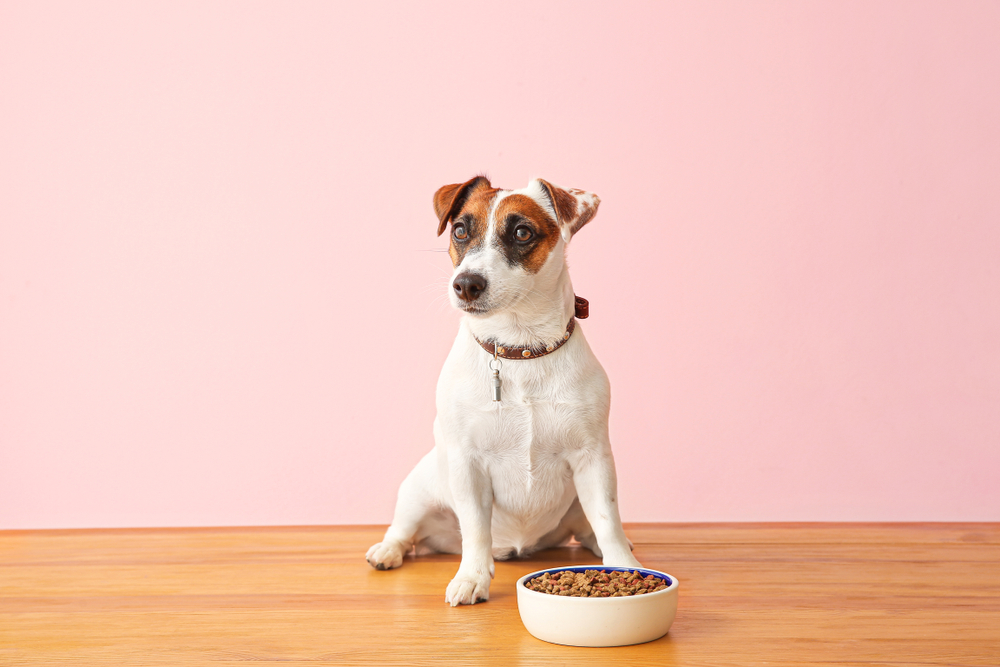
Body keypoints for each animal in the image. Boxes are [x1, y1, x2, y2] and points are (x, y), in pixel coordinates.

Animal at [368, 176, 640, 604]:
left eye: (522, 232)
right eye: (460, 231)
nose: (466, 284)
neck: (520, 348)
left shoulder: (593, 458)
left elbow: (608, 518)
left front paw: (623, 567)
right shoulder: (469, 464)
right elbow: (476, 530)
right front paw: (472, 577)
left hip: (576, 504)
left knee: (589, 527)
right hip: (417, 491)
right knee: (404, 530)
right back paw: (387, 550)